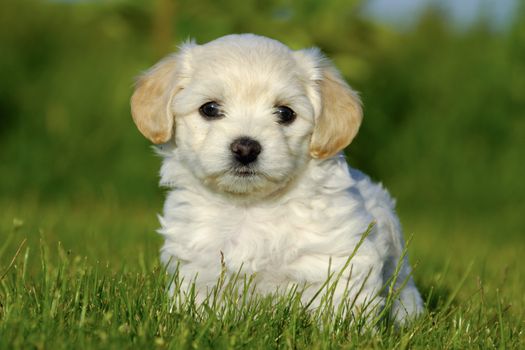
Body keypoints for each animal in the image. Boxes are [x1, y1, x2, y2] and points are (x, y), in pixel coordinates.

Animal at [130, 34, 422, 324]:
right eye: (210, 109)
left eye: (285, 113)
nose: (245, 148)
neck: (249, 208)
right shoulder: (199, 269)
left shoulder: (338, 258)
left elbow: (339, 309)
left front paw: (339, 328)